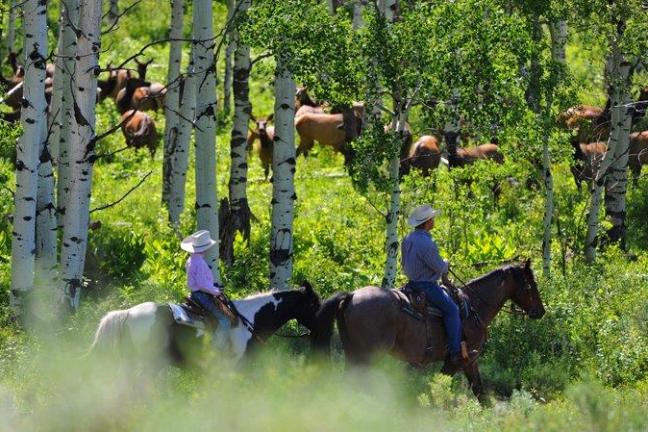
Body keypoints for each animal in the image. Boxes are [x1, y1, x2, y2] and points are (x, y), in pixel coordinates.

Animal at [312, 260, 544, 404]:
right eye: (530, 285)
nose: (540, 311)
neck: (474, 306)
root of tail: (351, 296)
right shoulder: (462, 360)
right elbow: (442, 388)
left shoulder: (468, 362)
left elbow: (478, 391)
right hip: (367, 355)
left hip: (353, 353)